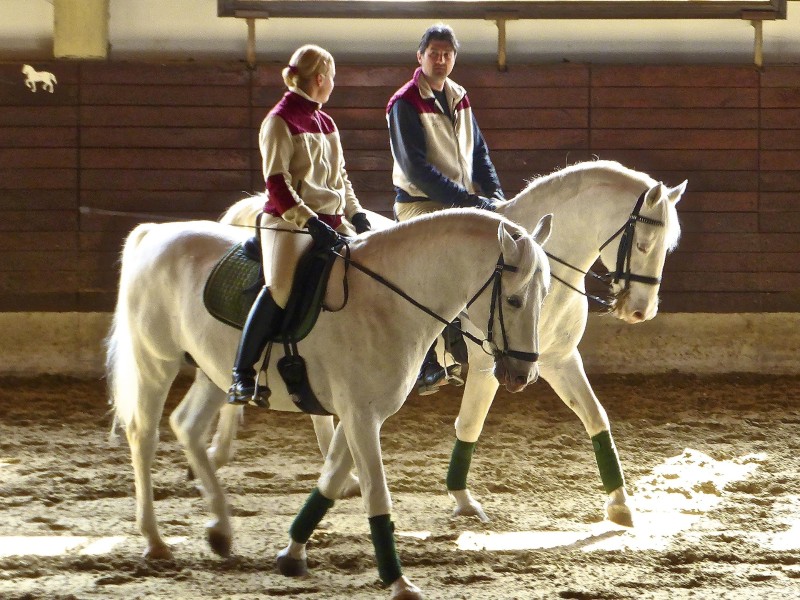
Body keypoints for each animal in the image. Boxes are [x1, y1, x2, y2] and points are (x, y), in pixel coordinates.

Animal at [107, 208, 553, 599]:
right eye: (514, 300)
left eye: (545, 295)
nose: (522, 375)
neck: (388, 299)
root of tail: (154, 233)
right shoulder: (360, 415)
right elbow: (376, 493)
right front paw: (398, 582)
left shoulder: (360, 413)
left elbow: (331, 478)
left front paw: (291, 554)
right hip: (156, 360)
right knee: (144, 436)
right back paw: (155, 540)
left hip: (213, 371)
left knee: (187, 425)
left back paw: (220, 529)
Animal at [208, 159, 686, 528]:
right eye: (644, 243)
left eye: (668, 247)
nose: (641, 310)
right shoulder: (491, 366)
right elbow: (469, 424)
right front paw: (462, 498)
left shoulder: (558, 360)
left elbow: (596, 418)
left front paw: (620, 504)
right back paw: (222, 443)